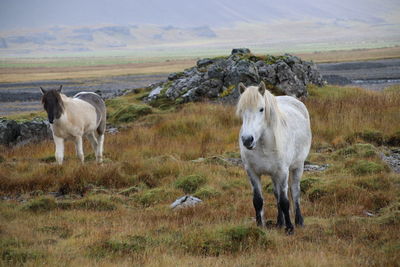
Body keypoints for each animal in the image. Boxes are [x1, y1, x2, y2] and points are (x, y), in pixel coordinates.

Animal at [236, 81, 310, 234]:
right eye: (242, 110)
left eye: (261, 109)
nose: (247, 140)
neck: (263, 145)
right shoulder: (252, 172)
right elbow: (258, 200)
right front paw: (260, 226)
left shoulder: (282, 172)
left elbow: (285, 201)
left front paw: (290, 228)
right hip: (274, 174)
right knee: (276, 194)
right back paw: (279, 222)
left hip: (297, 166)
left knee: (295, 192)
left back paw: (299, 221)